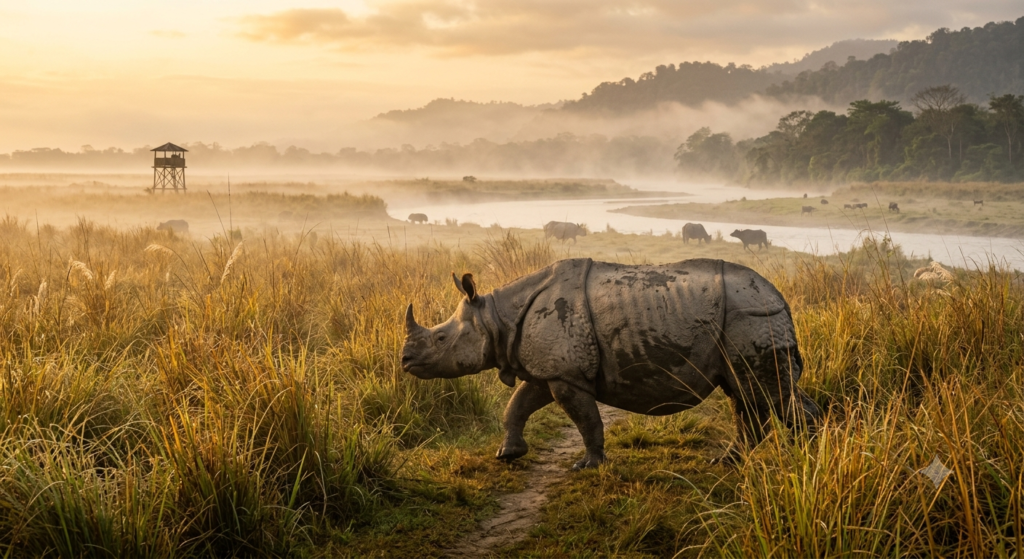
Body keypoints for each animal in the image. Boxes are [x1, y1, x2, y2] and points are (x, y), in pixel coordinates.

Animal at [401, 258, 820, 470]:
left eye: (441, 339)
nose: (405, 361)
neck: (497, 318)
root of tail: (779, 296)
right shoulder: (550, 368)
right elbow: (517, 405)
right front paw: (508, 455)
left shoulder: (566, 374)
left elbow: (586, 419)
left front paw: (589, 466)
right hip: (745, 316)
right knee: (745, 393)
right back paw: (729, 462)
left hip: (750, 314)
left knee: (765, 392)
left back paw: (806, 461)